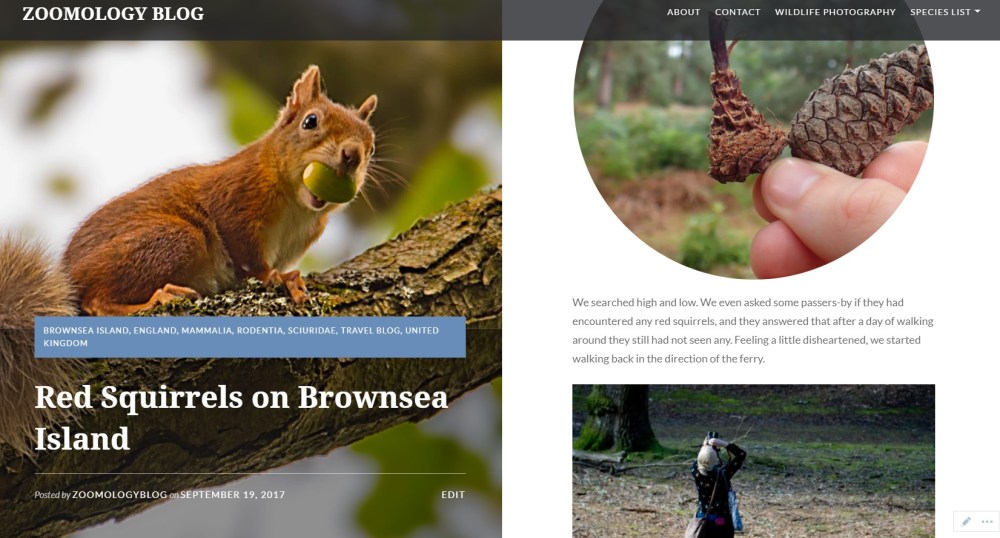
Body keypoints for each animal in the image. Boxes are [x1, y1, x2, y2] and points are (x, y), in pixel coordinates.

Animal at [0, 65, 377, 456]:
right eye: (310, 121)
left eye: (371, 144)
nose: (352, 155)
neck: (297, 206)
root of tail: (69, 278)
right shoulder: (236, 200)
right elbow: (249, 256)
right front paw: (280, 278)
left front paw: (290, 277)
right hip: (178, 239)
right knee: (95, 302)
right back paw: (156, 299)